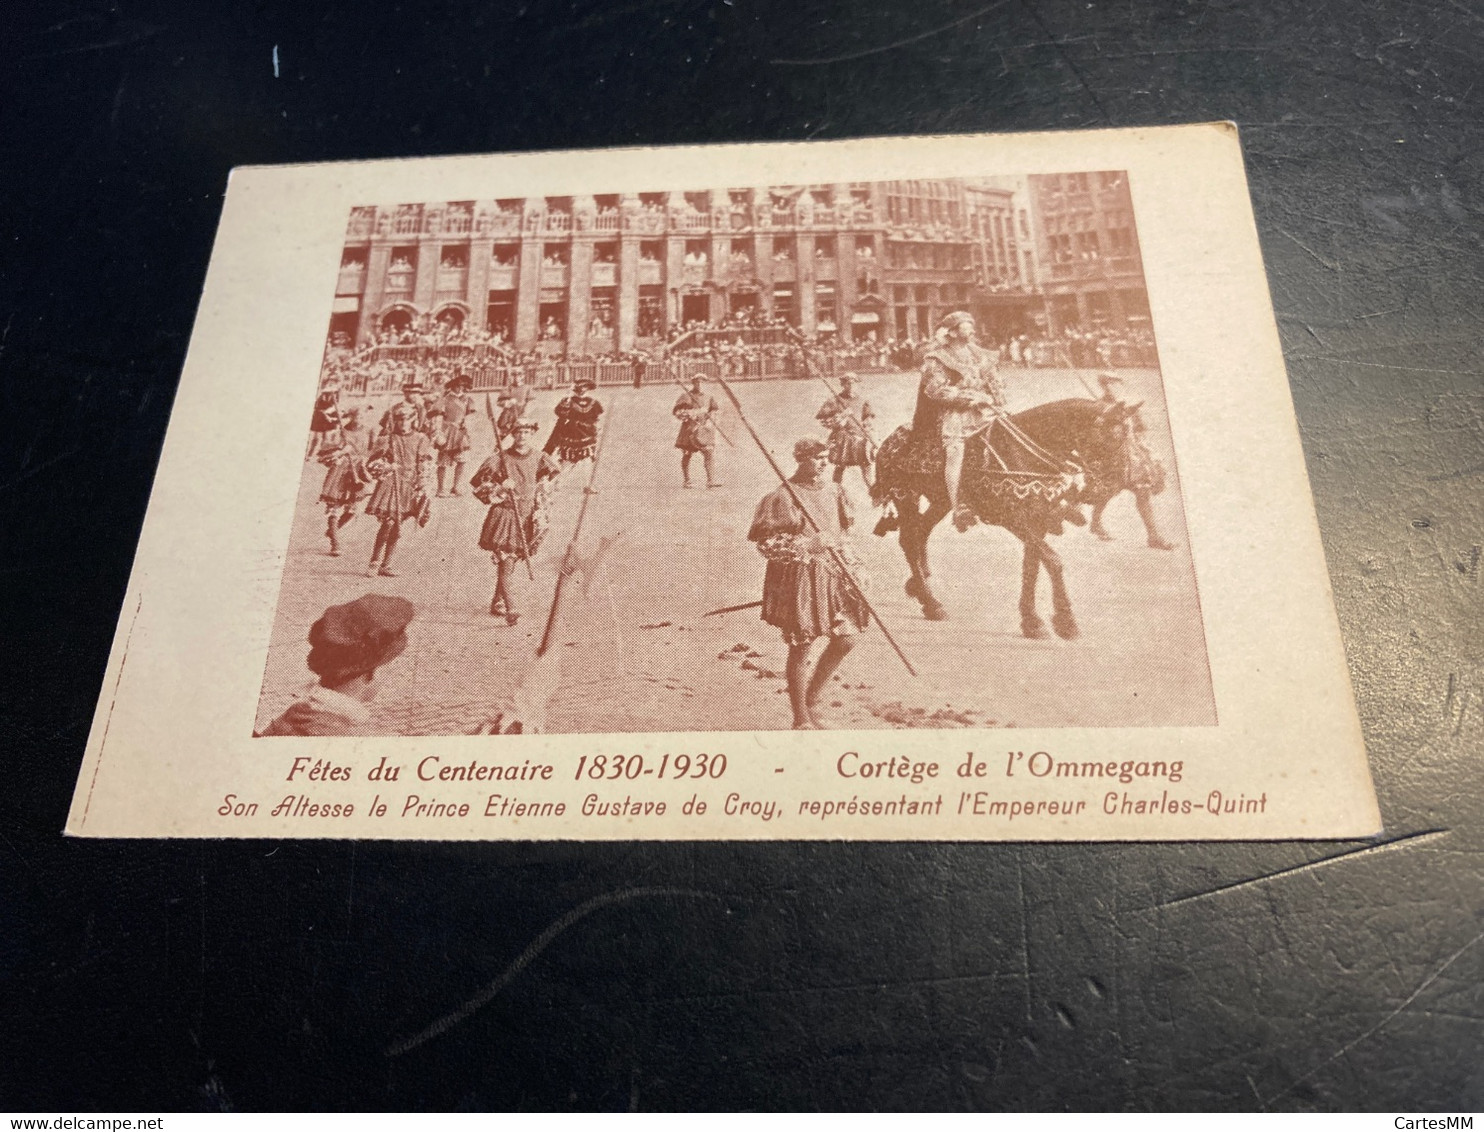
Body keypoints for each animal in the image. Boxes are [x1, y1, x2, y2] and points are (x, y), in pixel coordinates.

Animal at [866, 397, 1145, 637]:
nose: (1124, 478)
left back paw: (917, 584)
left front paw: (1031, 620)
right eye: (1115, 437)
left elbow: (1032, 566)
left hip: (941, 502)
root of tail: (889, 441)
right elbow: (1053, 561)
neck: (1024, 453)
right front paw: (1065, 621)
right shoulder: (1015, 520)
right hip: (906, 496)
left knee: (920, 532)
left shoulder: (1037, 521)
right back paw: (931, 602)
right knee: (909, 540)